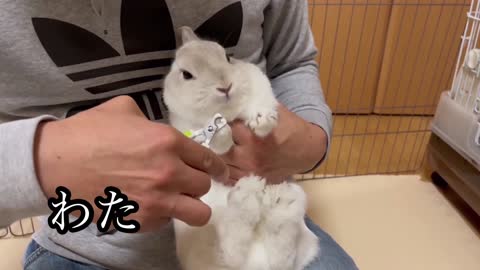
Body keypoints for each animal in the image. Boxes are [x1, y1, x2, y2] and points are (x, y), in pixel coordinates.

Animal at [164, 25, 318, 270]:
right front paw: (222, 135)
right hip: (198, 227)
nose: (225, 86)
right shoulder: (186, 126)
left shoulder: (260, 88)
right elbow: (214, 142)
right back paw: (246, 195)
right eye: (186, 75)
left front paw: (262, 123)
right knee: (230, 253)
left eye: (227, 57)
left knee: (281, 256)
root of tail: (255, 266)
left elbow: (261, 105)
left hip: (303, 229)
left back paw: (278, 201)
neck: (228, 113)